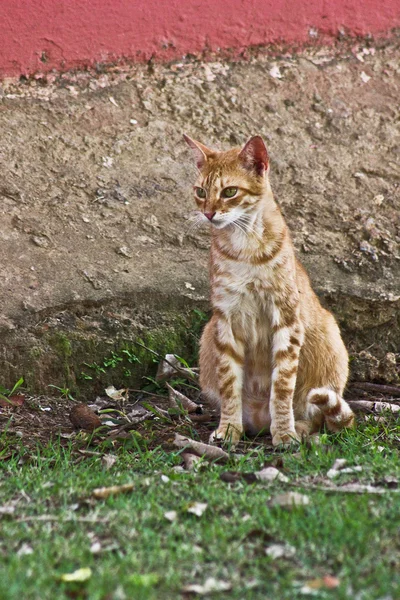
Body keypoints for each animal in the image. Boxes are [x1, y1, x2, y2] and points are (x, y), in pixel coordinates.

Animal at [184, 135, 354, 446]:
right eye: (201, 191)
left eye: (229, 191)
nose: (208, 213)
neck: (245, 248)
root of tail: (258, 422)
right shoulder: (226, 319)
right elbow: (229, 384)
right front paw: (229, 428)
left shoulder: (286, 319)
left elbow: (282, 387)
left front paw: (285, 432)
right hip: (207, 334)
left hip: (330, 338)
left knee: (318, 415)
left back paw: (299, 428)